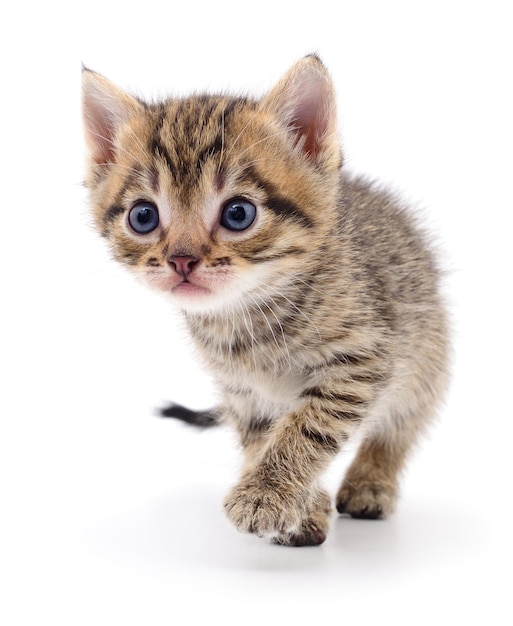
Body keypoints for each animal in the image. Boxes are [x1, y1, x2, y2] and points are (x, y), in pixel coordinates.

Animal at [81, 56, 448, 544]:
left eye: (238, 213)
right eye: (143, 216)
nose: (181, 260)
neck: (247, 314)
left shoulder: (361, 359)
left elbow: (309, 426)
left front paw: (266, 495)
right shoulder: (243, 393)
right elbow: (261, 439)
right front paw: (302, 511)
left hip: (427, 357)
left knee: (399, 426)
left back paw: (371, 483)